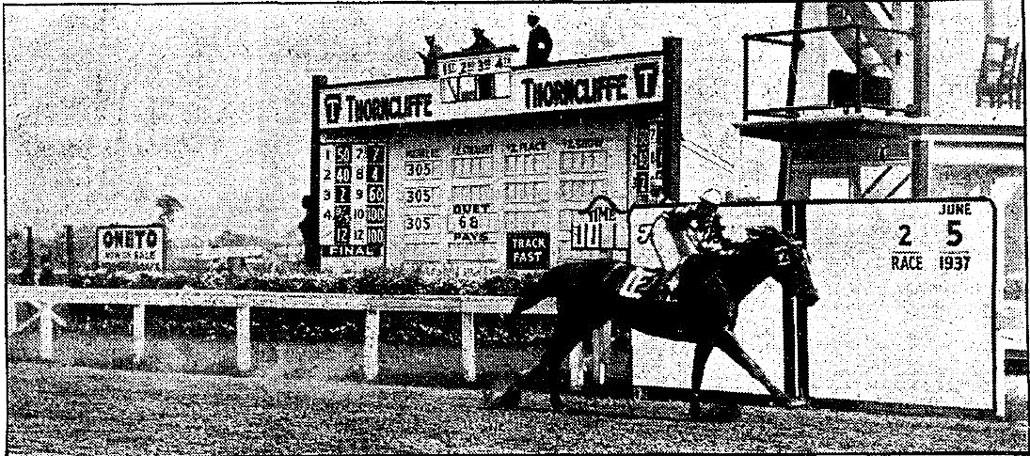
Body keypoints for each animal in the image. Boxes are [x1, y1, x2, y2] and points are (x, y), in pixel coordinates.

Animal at [488, 226, 819, 419]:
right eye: (795, 261)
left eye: (807, 260)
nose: (813, 296)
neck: (723, 278)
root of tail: (569, 269)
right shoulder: (720, 333)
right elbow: (753, 366)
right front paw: (789, 399)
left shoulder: (708, 337)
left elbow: (697, 374)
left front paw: (697, 409)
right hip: (576, 321)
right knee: (552, 356)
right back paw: (523, 397)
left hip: (585, 322)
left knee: (553, 357)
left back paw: (538, 399)